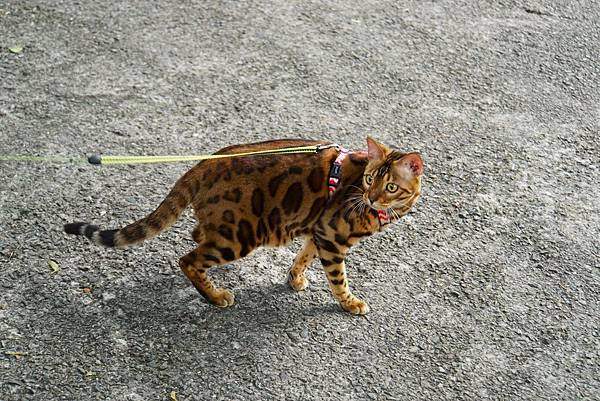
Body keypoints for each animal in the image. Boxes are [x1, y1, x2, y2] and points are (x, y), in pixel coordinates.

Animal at [64, 138, 422, 316]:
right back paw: (215, 295)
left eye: (390, 186)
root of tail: (204, 163)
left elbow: (303, 256)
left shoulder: (318, 231)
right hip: (241, 235)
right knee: (188, 260)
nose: (372, 199)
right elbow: (338, 279)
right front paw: (349, 303)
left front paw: (295, 279)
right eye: (370, 179)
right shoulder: (332, 239)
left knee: (196, 236)